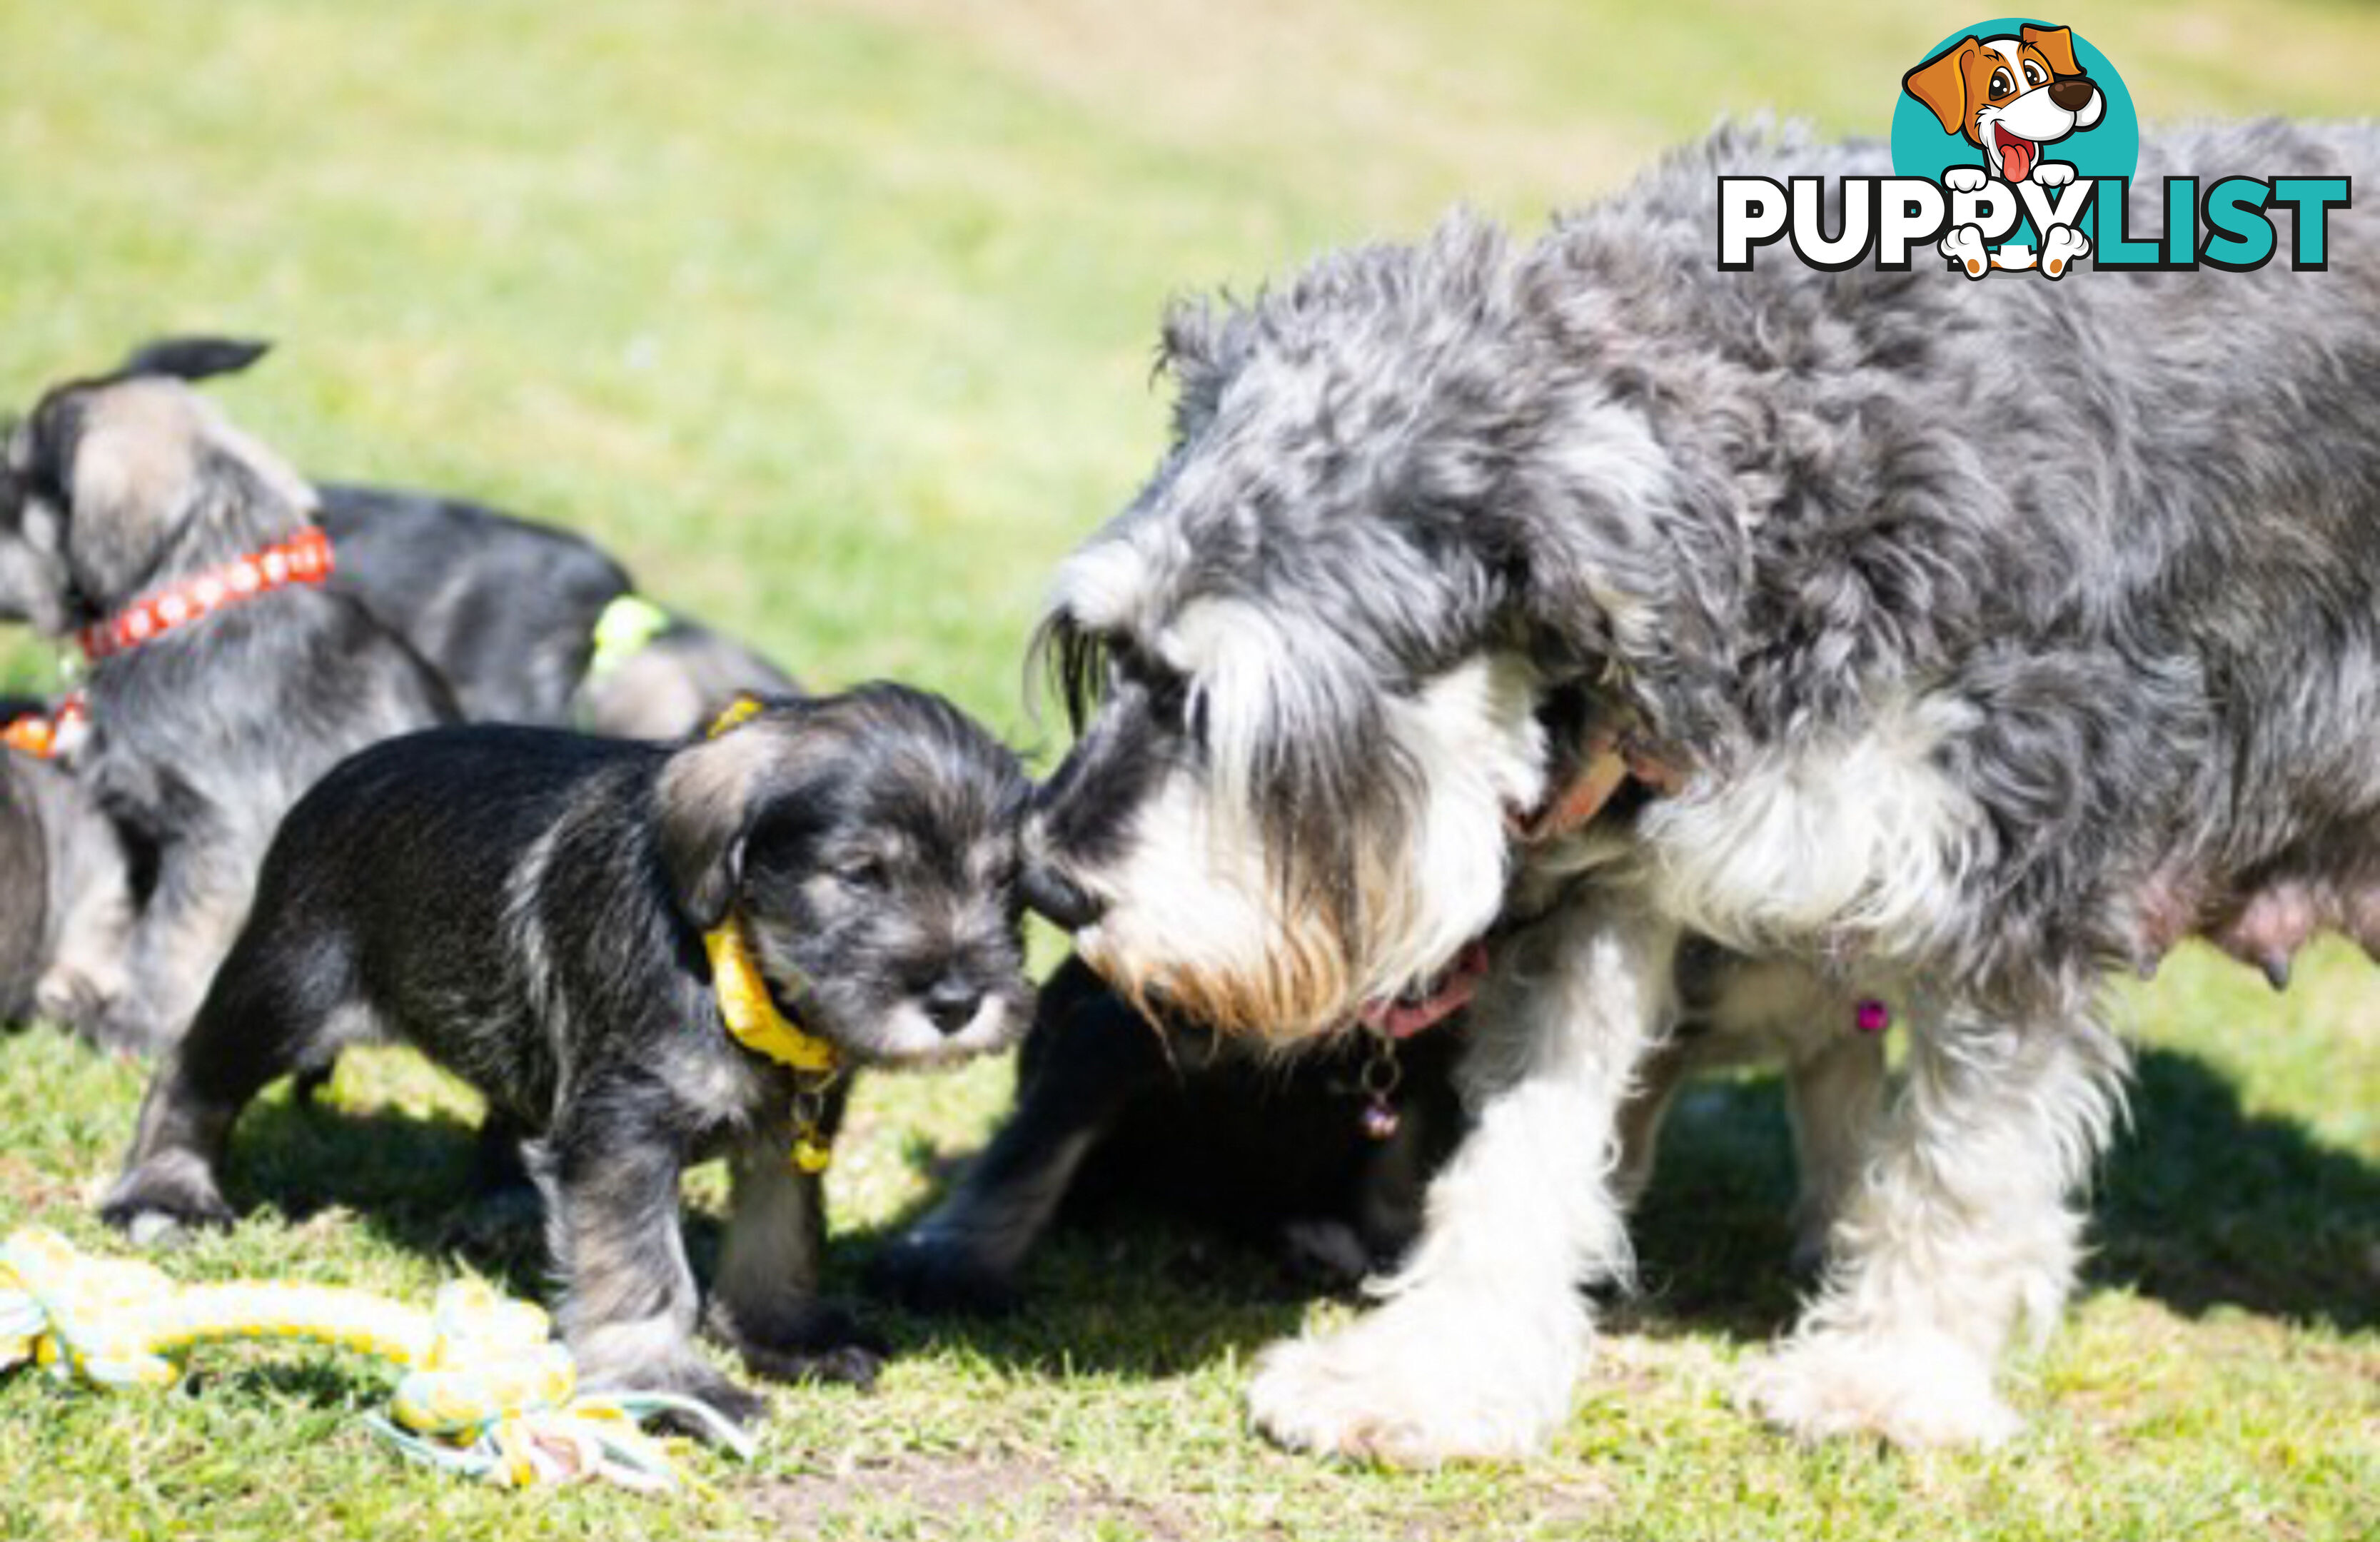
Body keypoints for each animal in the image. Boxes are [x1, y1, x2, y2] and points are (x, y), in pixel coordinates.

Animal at [104, 690, 1032, 1437]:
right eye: (862, 874)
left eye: (1001, 886)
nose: (957, 1003)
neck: (739, 970)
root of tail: (345, 772)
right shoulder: (624, 1137)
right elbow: (642, 1268)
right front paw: (666, 1383)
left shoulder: (787, 1136)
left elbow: (780, 1237)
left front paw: (784, 1337)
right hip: (287, 992)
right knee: (192, 1072)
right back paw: (163, 1193)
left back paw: (505, 1205)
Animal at [1023, 120, 2380, 1456]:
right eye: (1113, 657)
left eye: (1228, 711)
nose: (1048, 884)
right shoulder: (1605, 886)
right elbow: (1523, 1140)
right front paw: (1430, 1374)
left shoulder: (2017, 886)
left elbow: (1959, 1161)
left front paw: (1885, 1380)